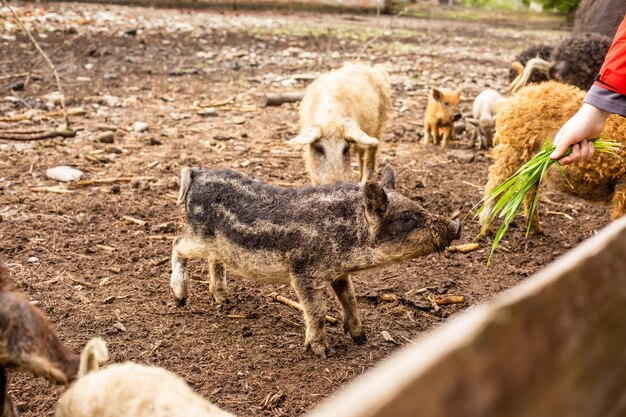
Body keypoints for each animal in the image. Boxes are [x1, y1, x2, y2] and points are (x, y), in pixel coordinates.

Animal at [171, 164, 458, 356]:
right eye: (406, 217)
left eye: (418, 207)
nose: (456, 225)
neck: (348, 236)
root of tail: (197, 173)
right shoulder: (303, 273)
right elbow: (317, 311)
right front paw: (322, 352)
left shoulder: (339, 272)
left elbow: (350, 299)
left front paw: (361, 338)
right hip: (198, 235)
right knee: (176, 244)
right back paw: (180, 299)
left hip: (217, 246)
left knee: (213, 261)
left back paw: (223, 301)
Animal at [478, 81, 624, 234]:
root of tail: (517, 97)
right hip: (512, 150)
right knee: (495, 184)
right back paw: (486, 230)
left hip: (530, 164)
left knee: (528, 190)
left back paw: (537, 230)